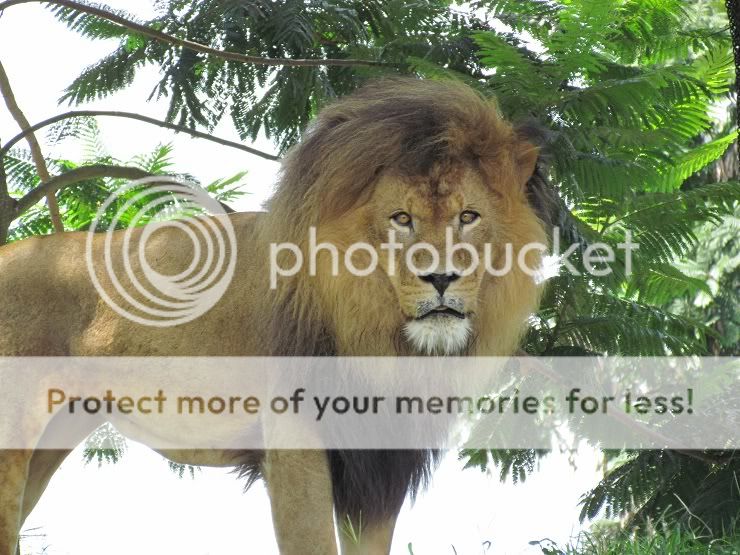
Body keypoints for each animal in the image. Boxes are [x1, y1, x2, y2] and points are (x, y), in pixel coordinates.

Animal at [0, 78, 552, 554]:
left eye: (468, 217)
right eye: (402, 219)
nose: (440, 278)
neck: (385, 341)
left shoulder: (380, 464)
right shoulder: (295, 442)